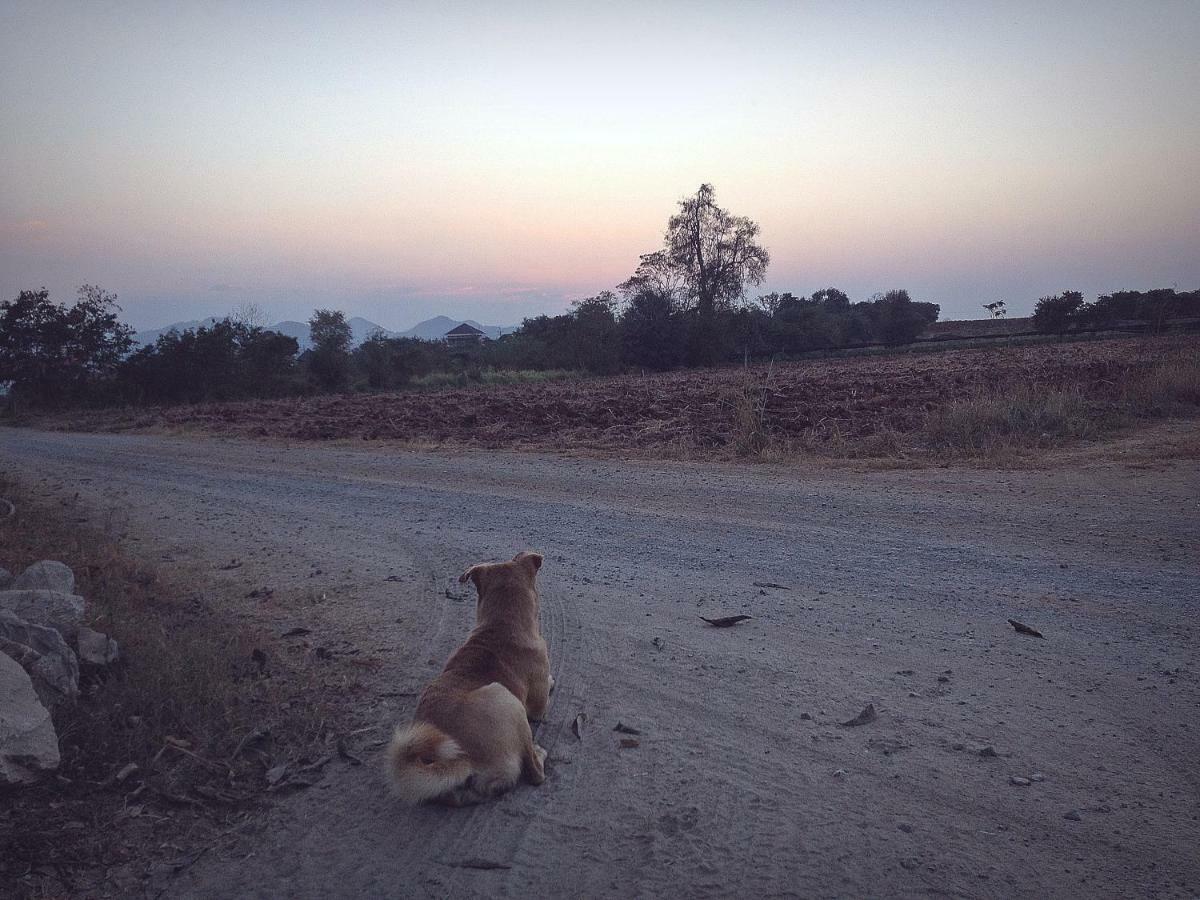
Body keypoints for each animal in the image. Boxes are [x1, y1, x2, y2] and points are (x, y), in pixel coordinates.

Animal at [384, 554, 552, 806]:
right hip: (505, 698)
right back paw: (539, 753)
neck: (501, 626)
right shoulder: (537, 707)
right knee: (534, 773)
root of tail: (464, 760)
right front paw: (551, 680)